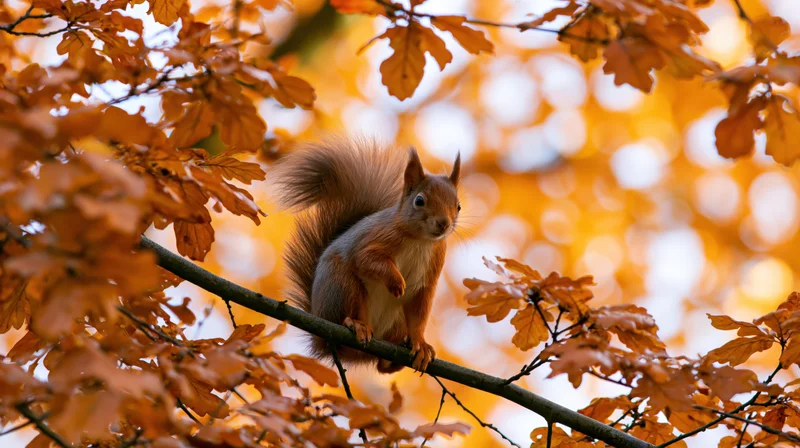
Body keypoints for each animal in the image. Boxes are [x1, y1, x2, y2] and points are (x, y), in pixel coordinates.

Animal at [271, 137, 461, 373]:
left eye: (458, 206)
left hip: (396, 322)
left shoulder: (428, 279)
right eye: (419, 200)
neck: (421, 241)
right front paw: (396, 281)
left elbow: (418, 316)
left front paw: (421, 345)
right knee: (346, 318)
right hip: (343, 288)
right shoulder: (375, 237)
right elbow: (365, 259)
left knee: (383, 365)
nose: (444, 223)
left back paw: (393, 356)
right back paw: (357, 325)